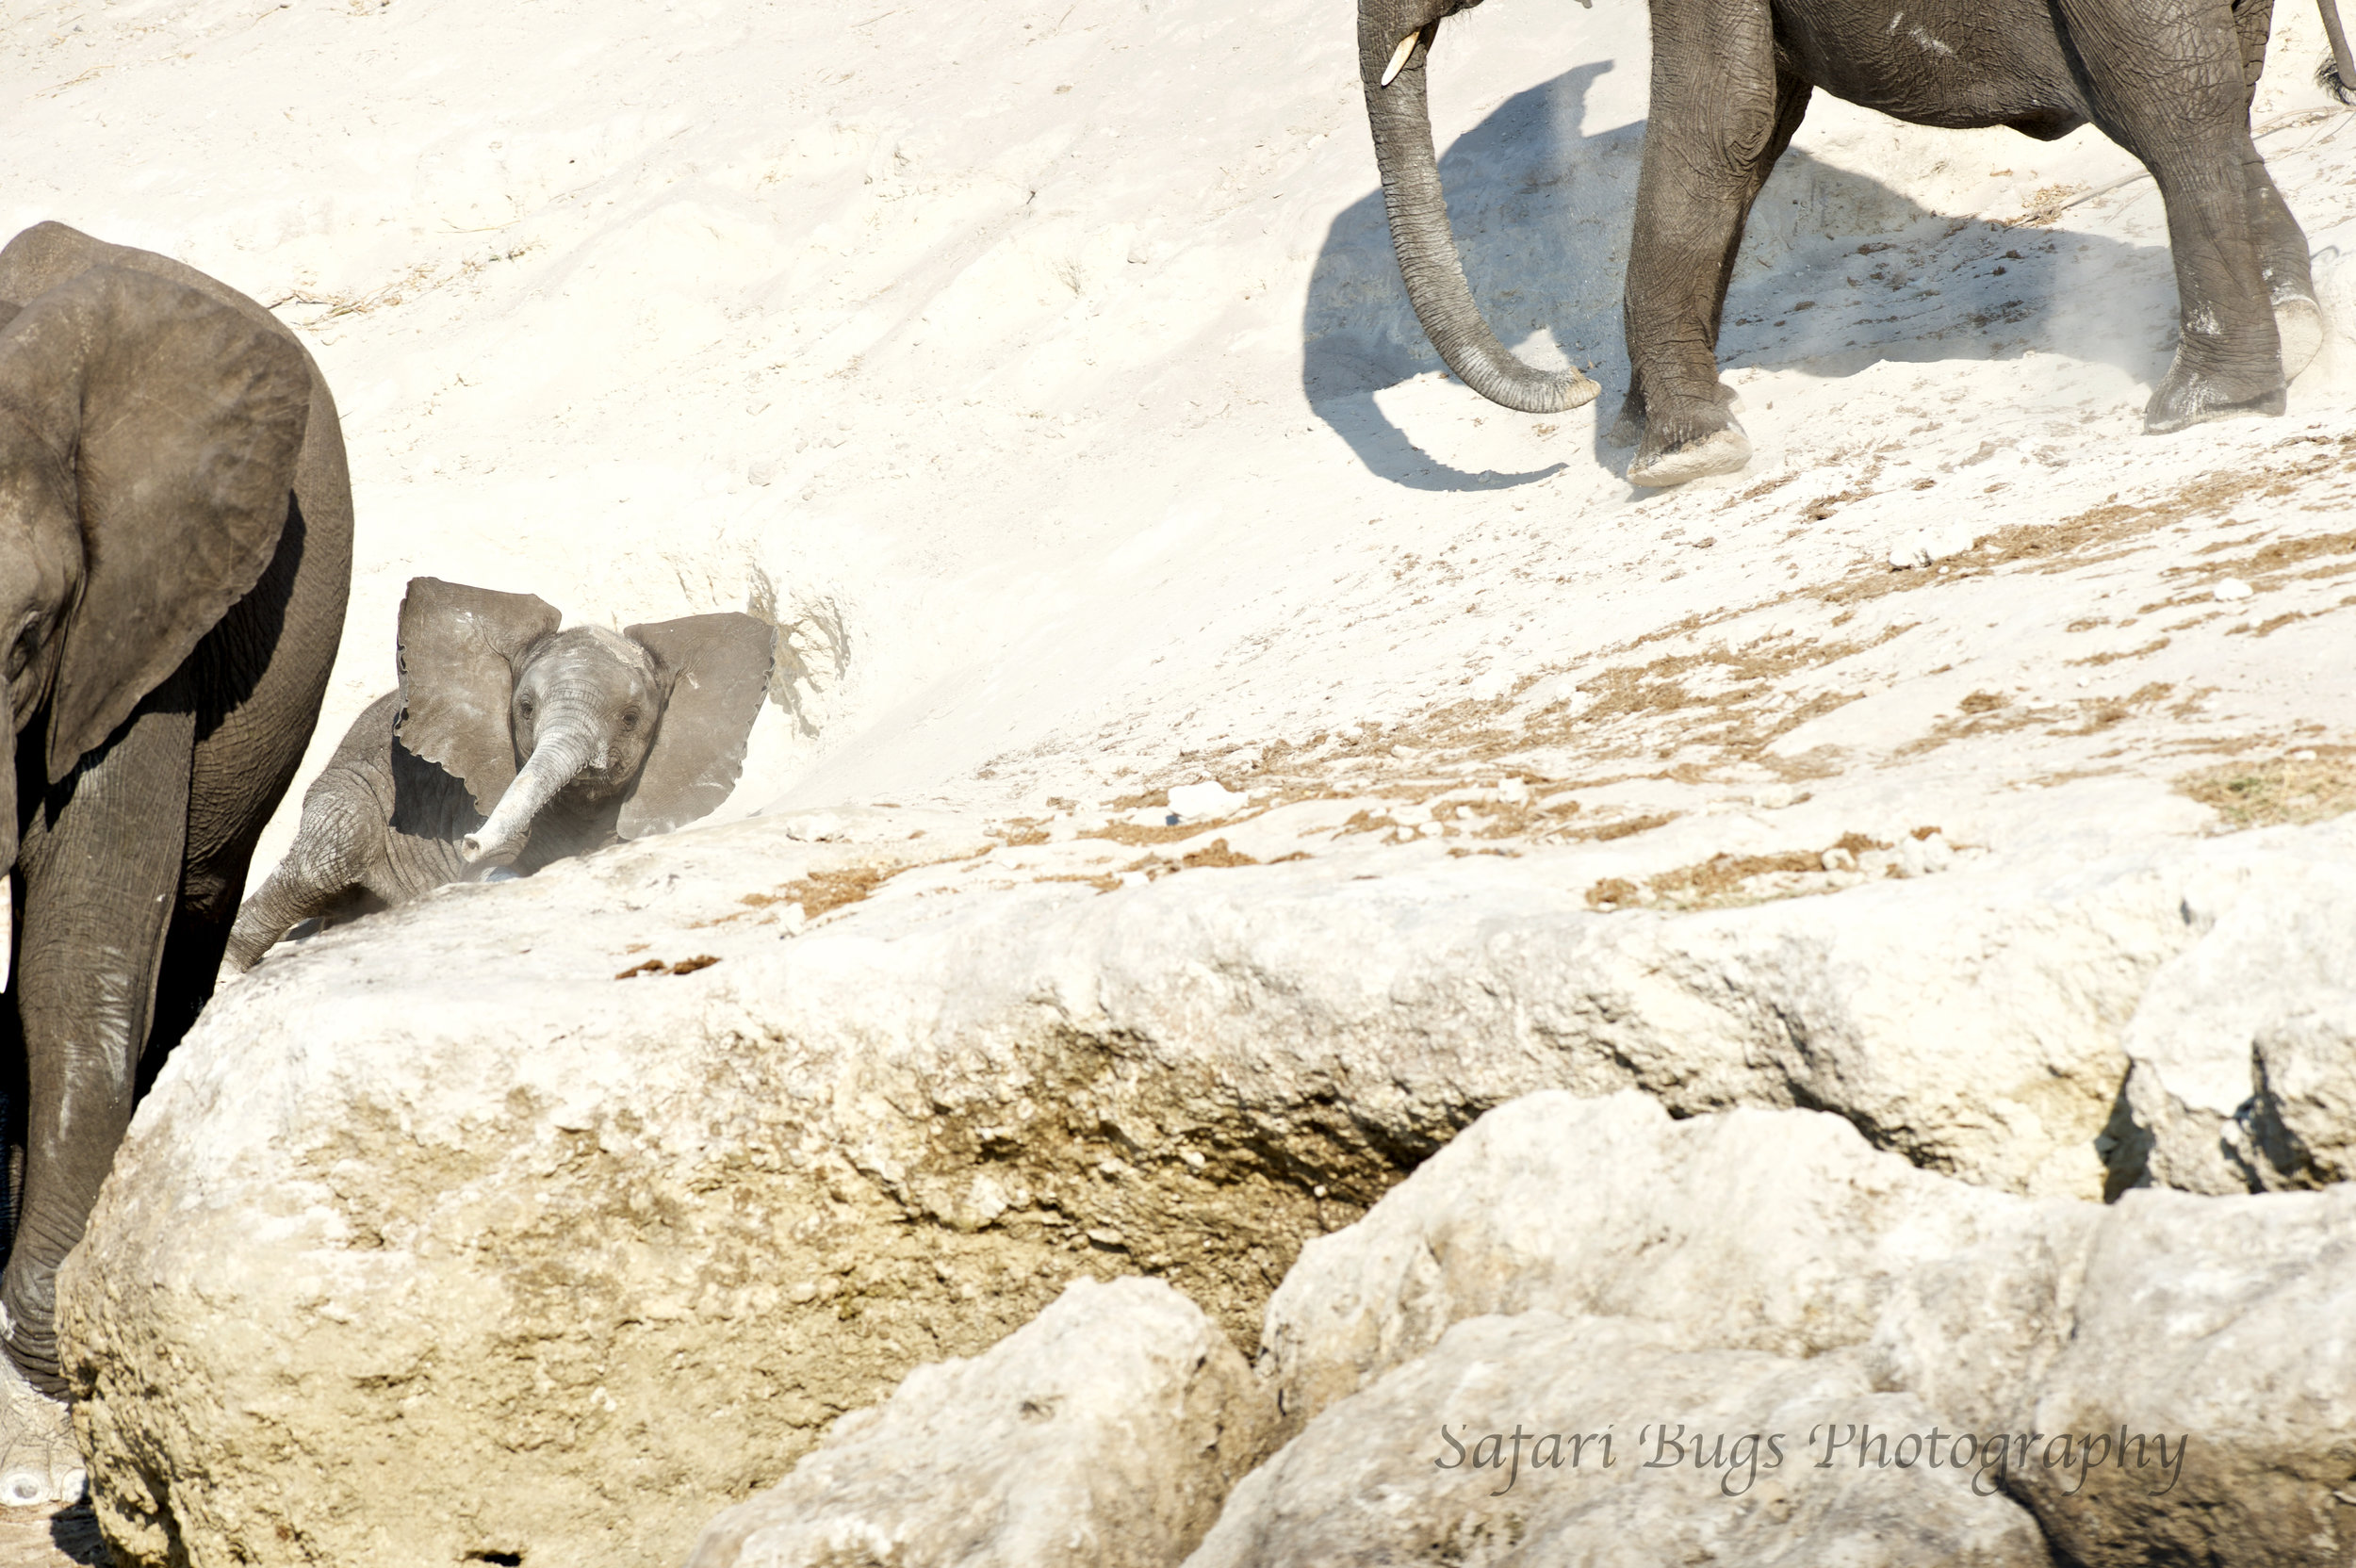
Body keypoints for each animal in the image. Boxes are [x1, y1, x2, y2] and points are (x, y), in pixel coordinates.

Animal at [228, 577, 768, 965]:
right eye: (525, 708)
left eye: (631, 719)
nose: (469, 842)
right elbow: (492, 871)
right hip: (353, 785)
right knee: (326, 858)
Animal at [1366, 0, 2356, 484]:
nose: (1573, 384)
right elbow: (1759, 117)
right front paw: (1642, 427)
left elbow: (1720, 115)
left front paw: (1677, 458)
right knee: (2216, 100)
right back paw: (2293, 333)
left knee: (2169, 113)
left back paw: (2202, 403)